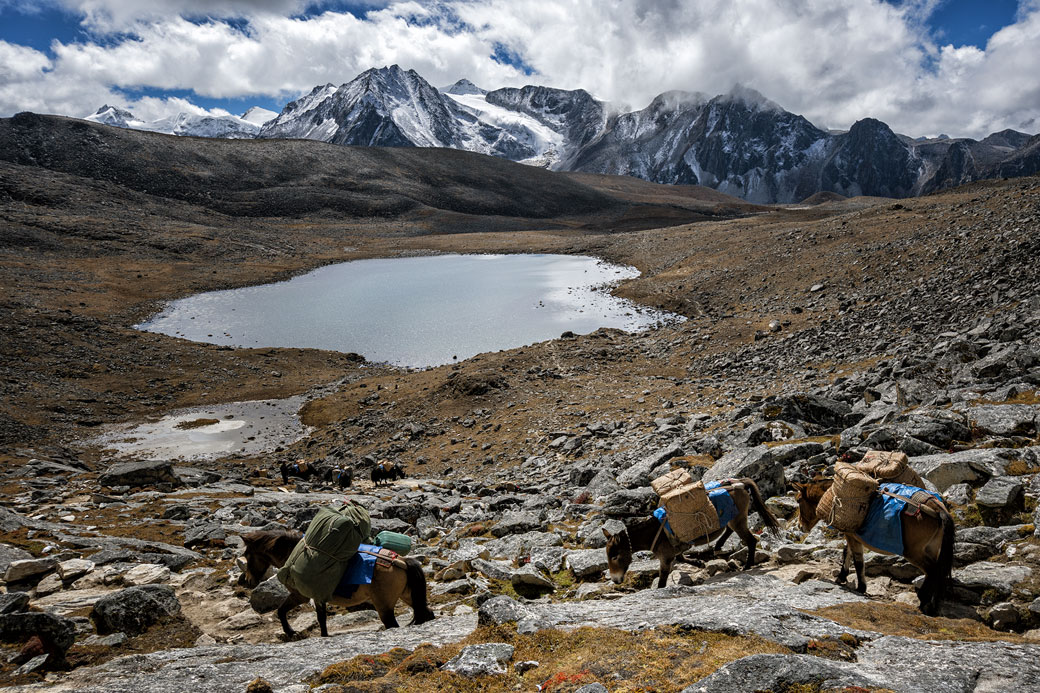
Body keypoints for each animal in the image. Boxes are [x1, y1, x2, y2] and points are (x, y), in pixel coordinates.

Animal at [239, 528, 434, 636]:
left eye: (248, 554)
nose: (248, 580)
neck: (293, 554)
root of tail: (401, 562)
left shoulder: (301, 596)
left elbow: (281, 611)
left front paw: (290, 631)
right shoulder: (317, 598)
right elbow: (321, 619)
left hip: (384, 607)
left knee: (393, 624)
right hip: (409, 596)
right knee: (426, 613)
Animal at [603, 478, 782, 586]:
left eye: (615, 556)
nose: (615, 580)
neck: (653, 533)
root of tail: (739, 483)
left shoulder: (665, 558)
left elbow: (662, 580)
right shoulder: (674, 550)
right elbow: (681, 557)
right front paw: (698, 562)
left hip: (738, 519)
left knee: (751, 540)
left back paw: (747, 565)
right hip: (734, 518)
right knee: (729, 529)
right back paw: (718, 547)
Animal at [790, 478, 952, 611]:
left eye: (798, 500)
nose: (800, 526)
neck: (833, 493)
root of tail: (938, 510)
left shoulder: (851, 535)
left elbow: (858, 561)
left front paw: (861, 587)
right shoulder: (851, 535)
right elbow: (847, 553)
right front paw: (842, 577)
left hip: (914, 552)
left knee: (933, 570)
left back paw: (923, 600)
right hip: (932, 548)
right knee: (938, 570)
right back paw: (932, 604)